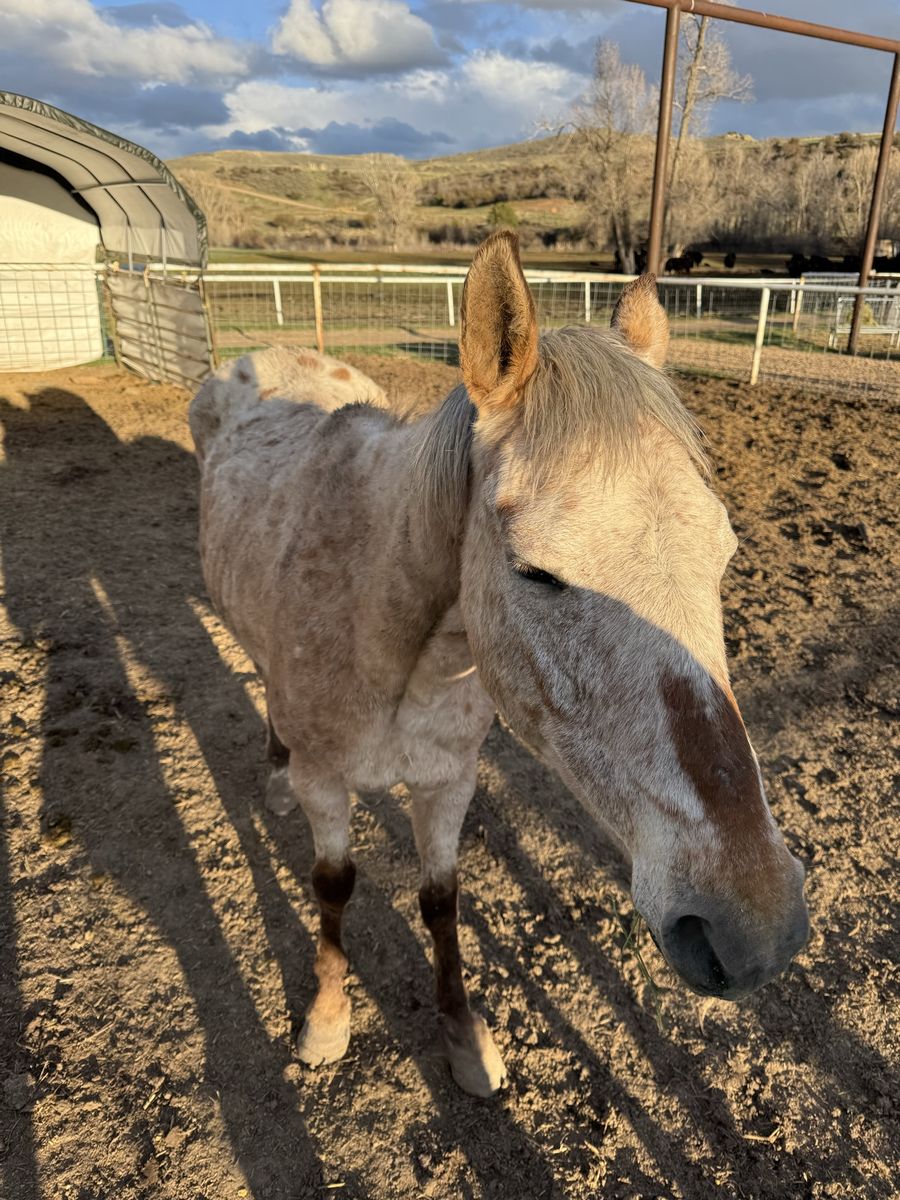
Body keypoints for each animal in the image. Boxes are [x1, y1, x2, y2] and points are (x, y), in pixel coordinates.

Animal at [189, 232, 809, 1098]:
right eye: (534, 572)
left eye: (725, 554)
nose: (756, 924)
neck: (387, 637)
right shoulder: (328, 784)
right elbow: (333, 887)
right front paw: (327, 1019)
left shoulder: (450, 778)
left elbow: (440, 900)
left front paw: (464, 1039)